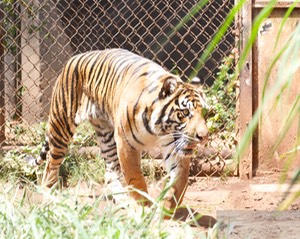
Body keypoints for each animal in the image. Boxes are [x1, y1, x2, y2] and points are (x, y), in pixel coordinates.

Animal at [26, 48, 209, 209]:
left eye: (204, 112)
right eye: (185, 113)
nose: (204, 136)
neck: (159, 129)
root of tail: (75, 57)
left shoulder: (173, 145)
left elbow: (179, 181)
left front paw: (166, 209)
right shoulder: (126, 144)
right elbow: (135, 179)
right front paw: (143, 208)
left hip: (105, 134)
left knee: (109, 172)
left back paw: (121, 198)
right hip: (61, 126)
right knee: (50, 166)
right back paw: (51, 194)